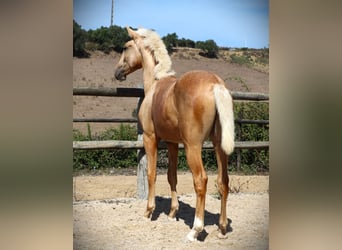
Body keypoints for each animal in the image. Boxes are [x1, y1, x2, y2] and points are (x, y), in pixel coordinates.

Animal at [115, 26, 235, 240]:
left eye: (126, 47)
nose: (117, 72)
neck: (155, 84)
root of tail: (216, 85)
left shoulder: (150, 138)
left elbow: (152, 173)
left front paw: (148, 211)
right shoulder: (172, 143)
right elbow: (172, 176)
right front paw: (172, 212)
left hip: (193, 147)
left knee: (201, 180)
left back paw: (195, 230)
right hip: (218, 146)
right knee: (223, 182)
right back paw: (221, 228)